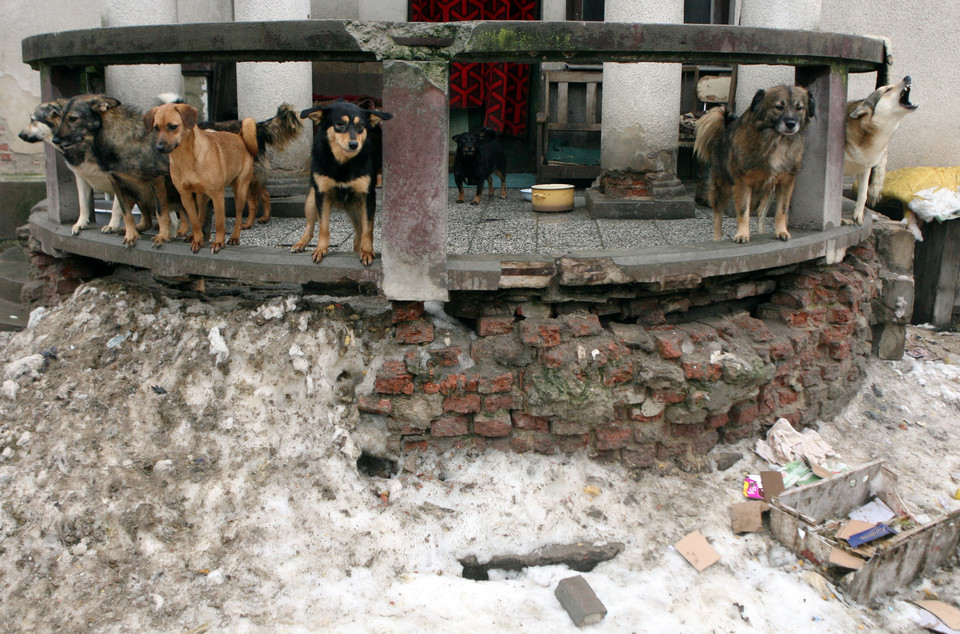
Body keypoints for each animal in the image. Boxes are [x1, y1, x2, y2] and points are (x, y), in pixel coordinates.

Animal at [53, 94, 182, 247]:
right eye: (61, 118)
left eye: (73, 118)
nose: (54, 140)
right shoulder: (118, 184)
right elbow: (126, 214)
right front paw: (130, 235)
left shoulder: (157, 180)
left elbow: (161, 213)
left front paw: (162, 236)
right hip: (138, 193)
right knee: (147, 221)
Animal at [144, 102, 256, 252]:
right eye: (156, 127)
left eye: (172, 126)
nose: (159, 148)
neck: (186, 157)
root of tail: (239, 137)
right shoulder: (185, 196)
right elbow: (195, 221)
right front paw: (197, 240)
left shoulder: (217, 195)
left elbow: (219, 222)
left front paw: (218, 242)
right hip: (201, 197)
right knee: (200, 217)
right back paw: (193, 236)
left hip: (240, 191)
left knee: (238, 217)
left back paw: (234, 237)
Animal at [288, 98, 390, 264]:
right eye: (340, 124)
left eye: (360, 126)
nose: (354, 145)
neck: (343, 162)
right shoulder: (321, 195)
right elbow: (323, 227)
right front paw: (321, 249)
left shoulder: (368, 197)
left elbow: (368, 229)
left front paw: (367, 251)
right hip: (311, 199)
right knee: (310, 227)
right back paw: (300, 243)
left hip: (357, 209)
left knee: (360, 232)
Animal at [692, 84, 812, 242]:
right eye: (778, 107)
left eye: (800, 108)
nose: (791, 124)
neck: (776, 140)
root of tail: (725, 129)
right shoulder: (743, 182)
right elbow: (742, 211)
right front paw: (742, 234)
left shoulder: (786, 182)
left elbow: (781, 210)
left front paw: (781, 231)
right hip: (721, 187)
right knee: (718, 216)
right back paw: (717, 239)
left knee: (759, 211)